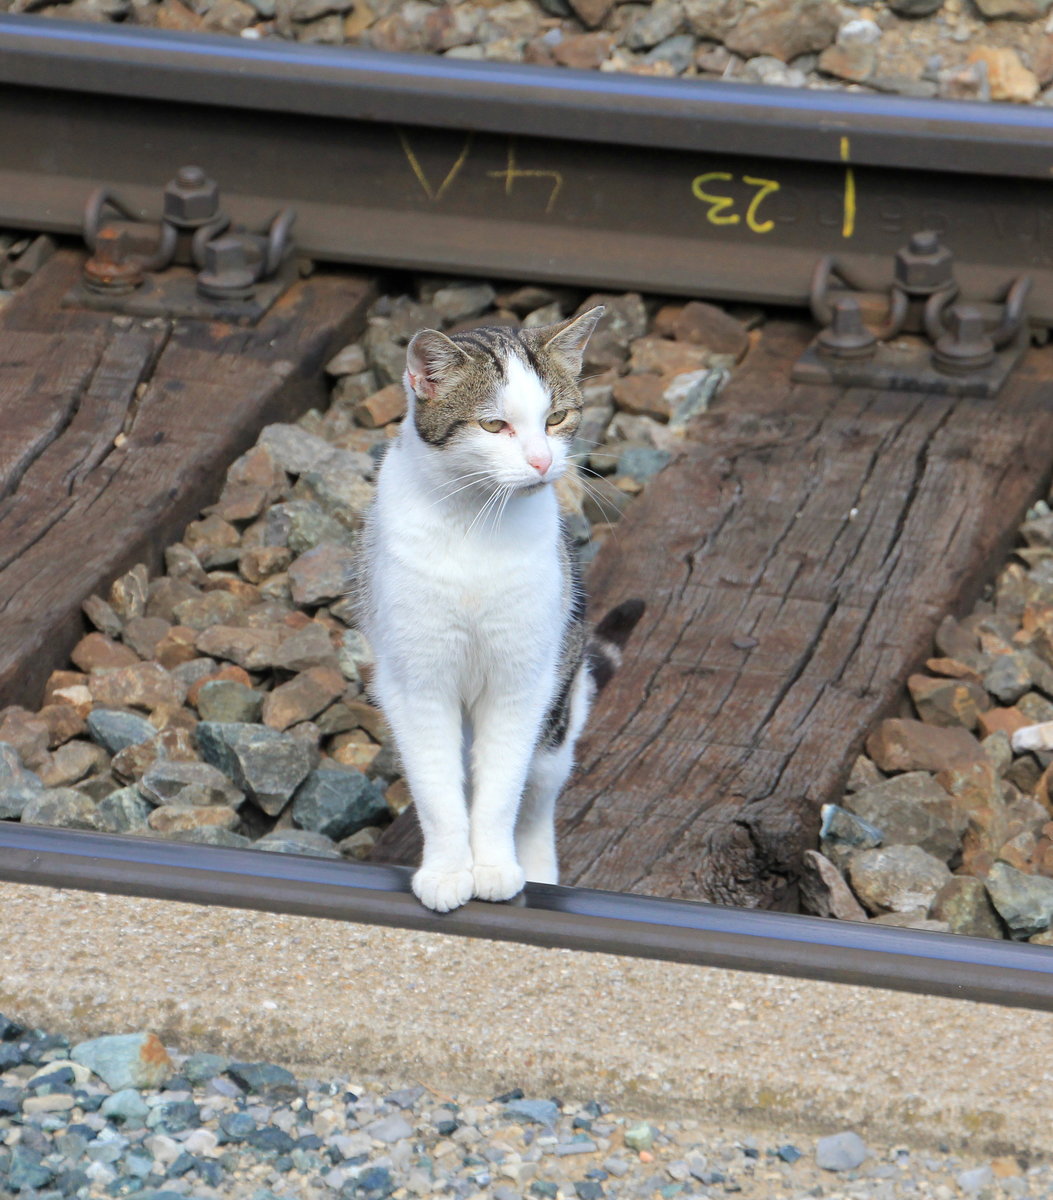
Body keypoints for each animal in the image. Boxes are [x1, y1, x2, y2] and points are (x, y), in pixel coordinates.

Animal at [359, 307, 642, 907]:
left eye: (557, 418)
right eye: (494, 427)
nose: (541, 461)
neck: (476, 520)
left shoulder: (523, 679)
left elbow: (503, 787)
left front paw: (492, 866)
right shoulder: (416, 682)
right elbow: (437, 789)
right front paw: (447, 871)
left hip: (558, 709)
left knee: (537, 794)